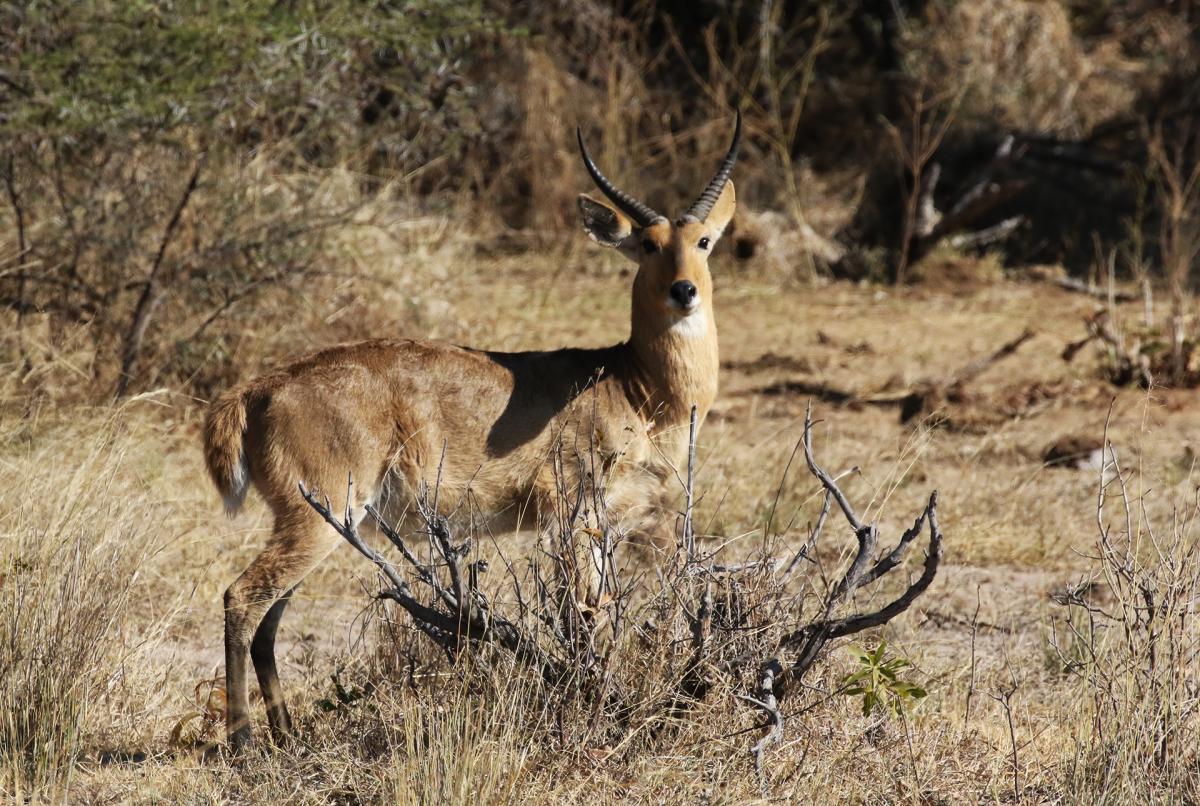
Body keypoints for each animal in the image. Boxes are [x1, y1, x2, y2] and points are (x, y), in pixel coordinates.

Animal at [206, 110, 739, 748]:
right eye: (649, 244)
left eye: (703, 241)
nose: (684, 291)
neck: (636, 385)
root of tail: (258, 389)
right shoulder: (571, 515)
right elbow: (587, 618)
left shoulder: (603, 525)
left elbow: (599, 613)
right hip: (320, 518)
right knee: (241, 597)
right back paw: (243, 743)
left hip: (323, 524)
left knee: (268, 618)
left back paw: (287, 737)